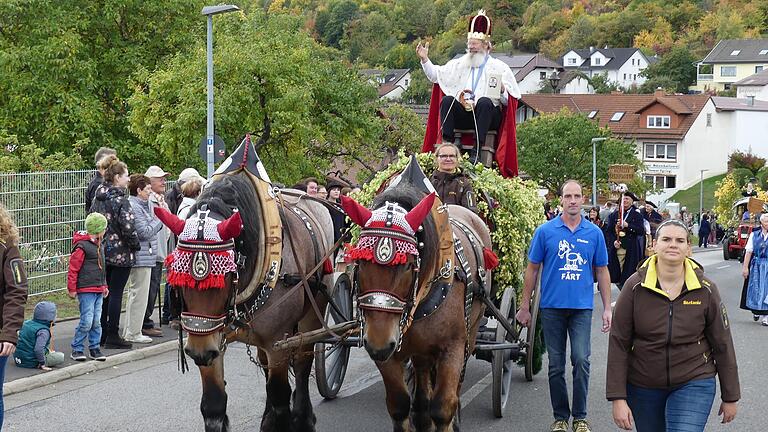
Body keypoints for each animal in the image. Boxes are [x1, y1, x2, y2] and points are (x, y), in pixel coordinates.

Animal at [156, 173, 332, 432]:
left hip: (312, 314)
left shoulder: (277, 343)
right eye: (178, 276)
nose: (198, 352)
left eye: (226, 275)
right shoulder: (212, 338)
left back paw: (303, 418)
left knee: (302, 363)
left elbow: (280, 396)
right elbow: (213, 405)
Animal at [342, 183, 492, 432]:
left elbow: (443, 407)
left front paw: (449, 418)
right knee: (422, 382)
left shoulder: (453, 347)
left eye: (408, 265)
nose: (379, 344)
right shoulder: (389, 354)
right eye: (361, 262)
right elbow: (399, 404)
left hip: (470, 333)